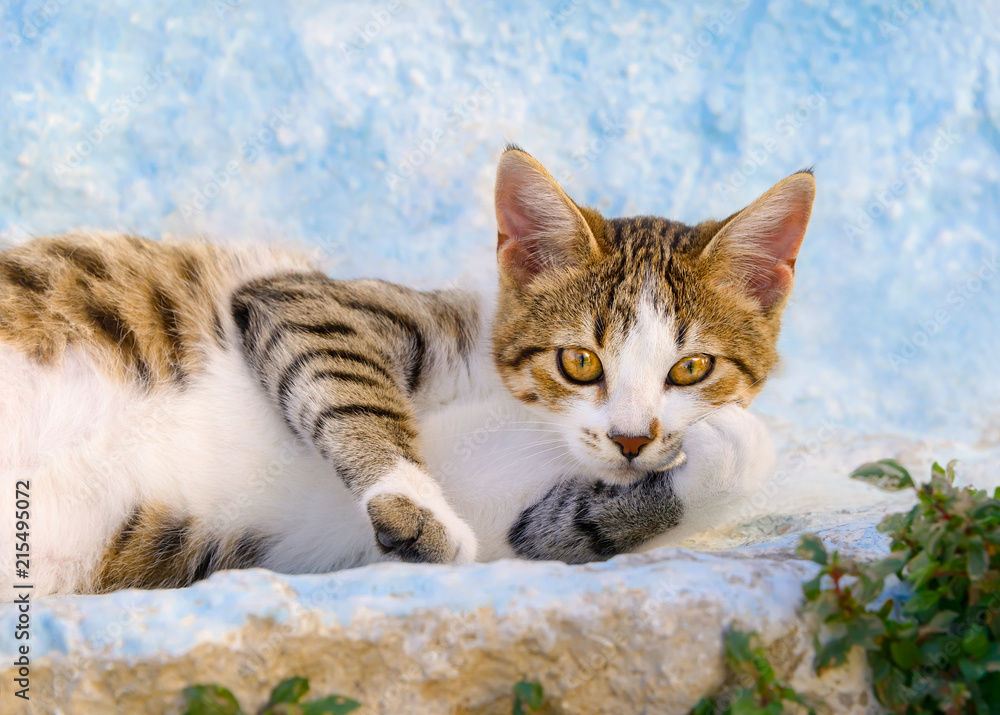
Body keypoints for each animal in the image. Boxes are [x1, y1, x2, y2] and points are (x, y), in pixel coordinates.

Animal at [0, 145, 812, 600]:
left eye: (692, 366)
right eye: (579, 360)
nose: (633, 438)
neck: (523, 412)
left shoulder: (509, 529)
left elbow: (560, 527)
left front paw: (727, 447)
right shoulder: (301, 300)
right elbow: (346, 382)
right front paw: (414, 504)